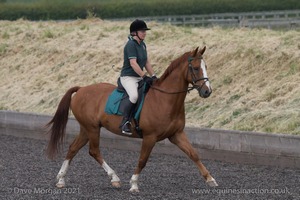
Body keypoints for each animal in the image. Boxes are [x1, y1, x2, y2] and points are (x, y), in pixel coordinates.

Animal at [45, 46, 217, 192]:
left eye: (206, 66)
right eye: (196, 68)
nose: (207, 91)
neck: (165, 99)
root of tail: (81, 89)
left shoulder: (176, 134)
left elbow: (193, 154)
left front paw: (210, 179)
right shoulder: (150, 137)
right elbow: (142, 159)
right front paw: (134, 184)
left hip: (86, 129)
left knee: (73, 148)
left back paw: (61, 180)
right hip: (92, 128)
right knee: (94, 151)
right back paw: (114, 178)